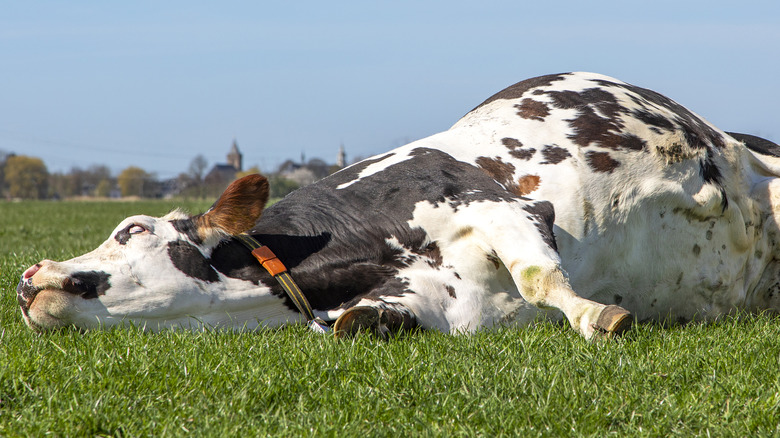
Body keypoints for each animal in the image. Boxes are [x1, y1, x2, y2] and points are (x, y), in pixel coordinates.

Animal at [15, 72, 780, 340]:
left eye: (130, 229)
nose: (27, 279)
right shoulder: (428, 309)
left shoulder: (499, 206)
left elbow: (542, 279)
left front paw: (599, 315)